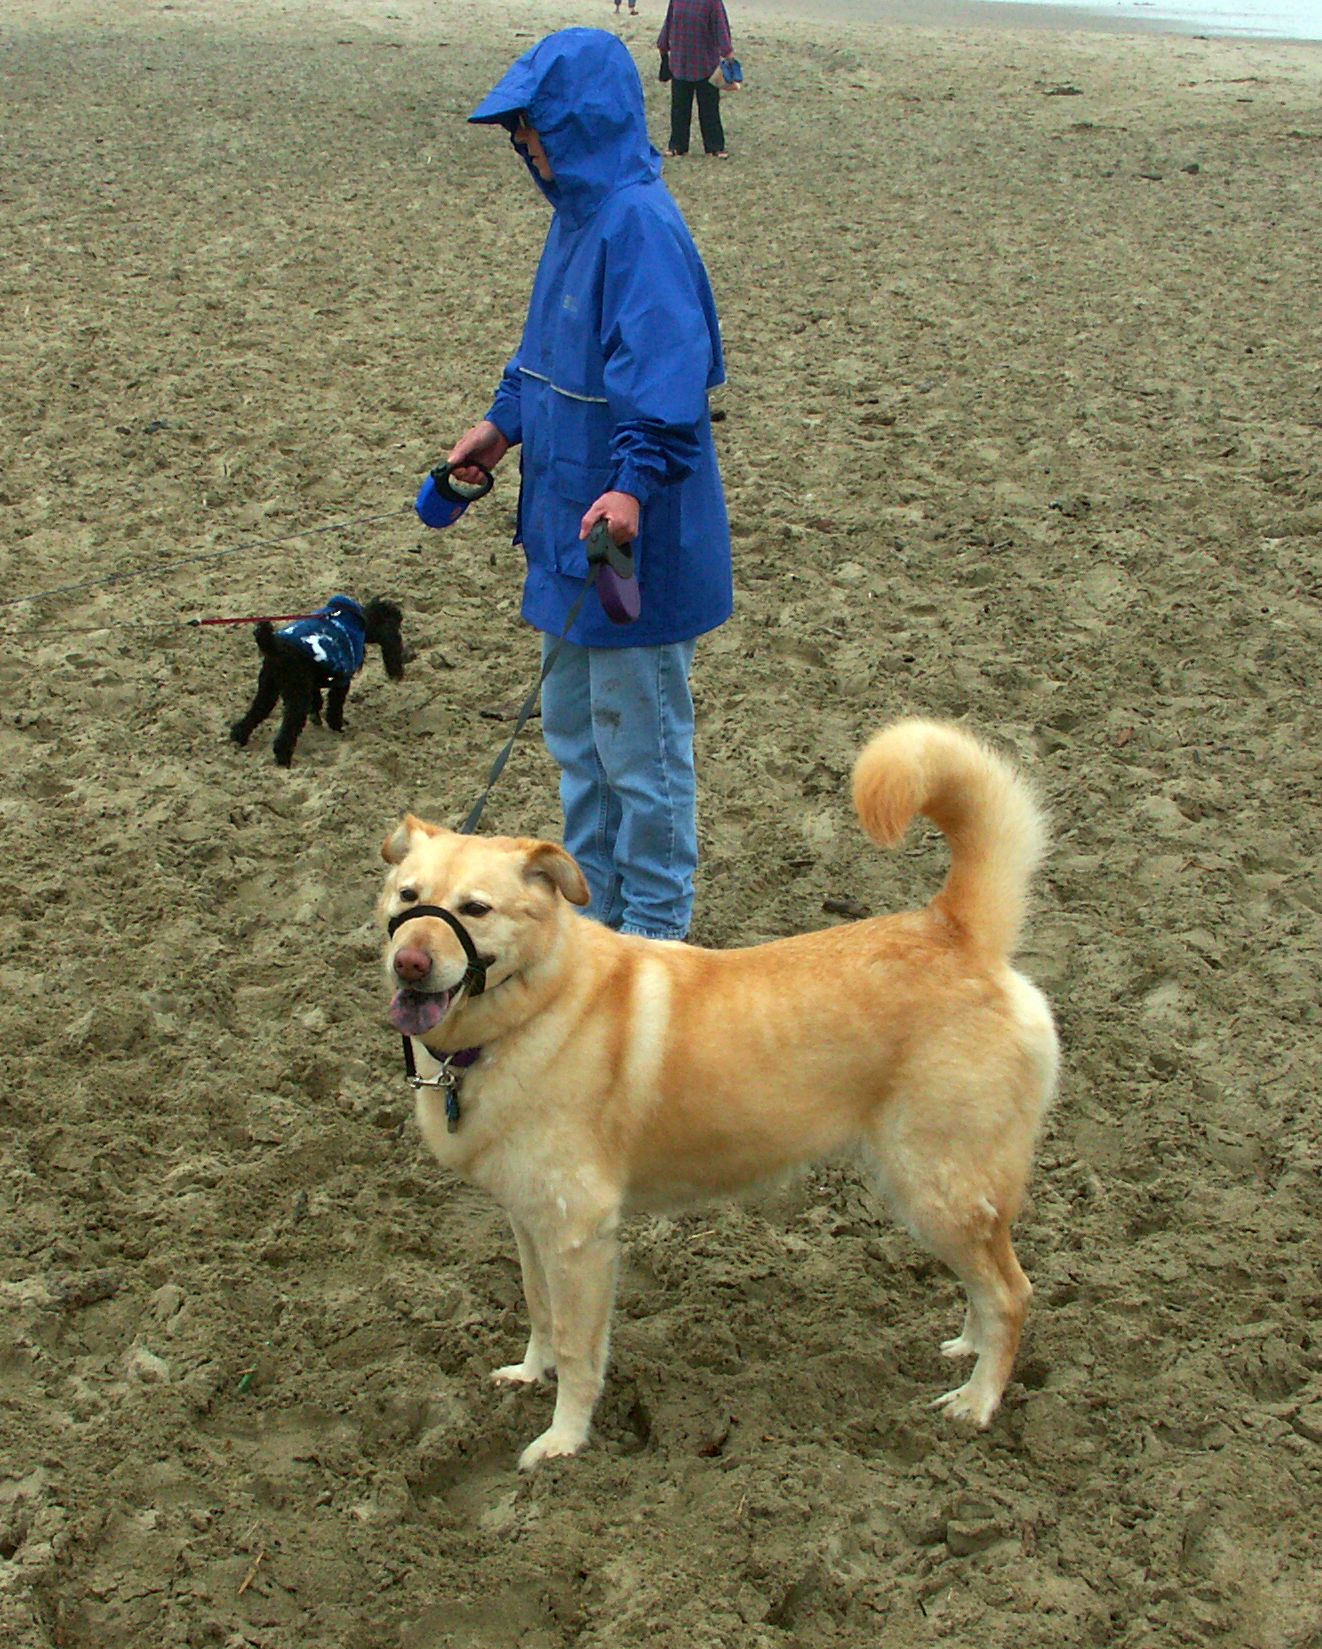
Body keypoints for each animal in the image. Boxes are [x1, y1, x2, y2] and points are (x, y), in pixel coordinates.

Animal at [229, 595, 406, 766]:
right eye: (395, 624)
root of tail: (275, 647)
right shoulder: (342, 681)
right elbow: (334, 708)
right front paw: (337, 728)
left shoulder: (312, 681)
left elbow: (317, 700)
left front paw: (317, 718)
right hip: (296, 696)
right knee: (287, 731)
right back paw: (284, 760)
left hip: (268, 688)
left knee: (254, 713)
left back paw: (239, 739)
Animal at [377, 718, 1059, 1470]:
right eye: (407, 895)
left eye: (475, 908)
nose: (409, 963)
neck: (535, 1007)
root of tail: (957, 930)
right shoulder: (528, 1220)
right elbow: (539, 1309)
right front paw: (529, 1375)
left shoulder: (580, 1234)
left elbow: (579, 1350)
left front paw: (562, 1442)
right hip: (935, 1193)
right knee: (985, 1285)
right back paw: (967, 1348)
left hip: (938, 1186)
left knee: (1011, 1292)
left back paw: (978, 1401)